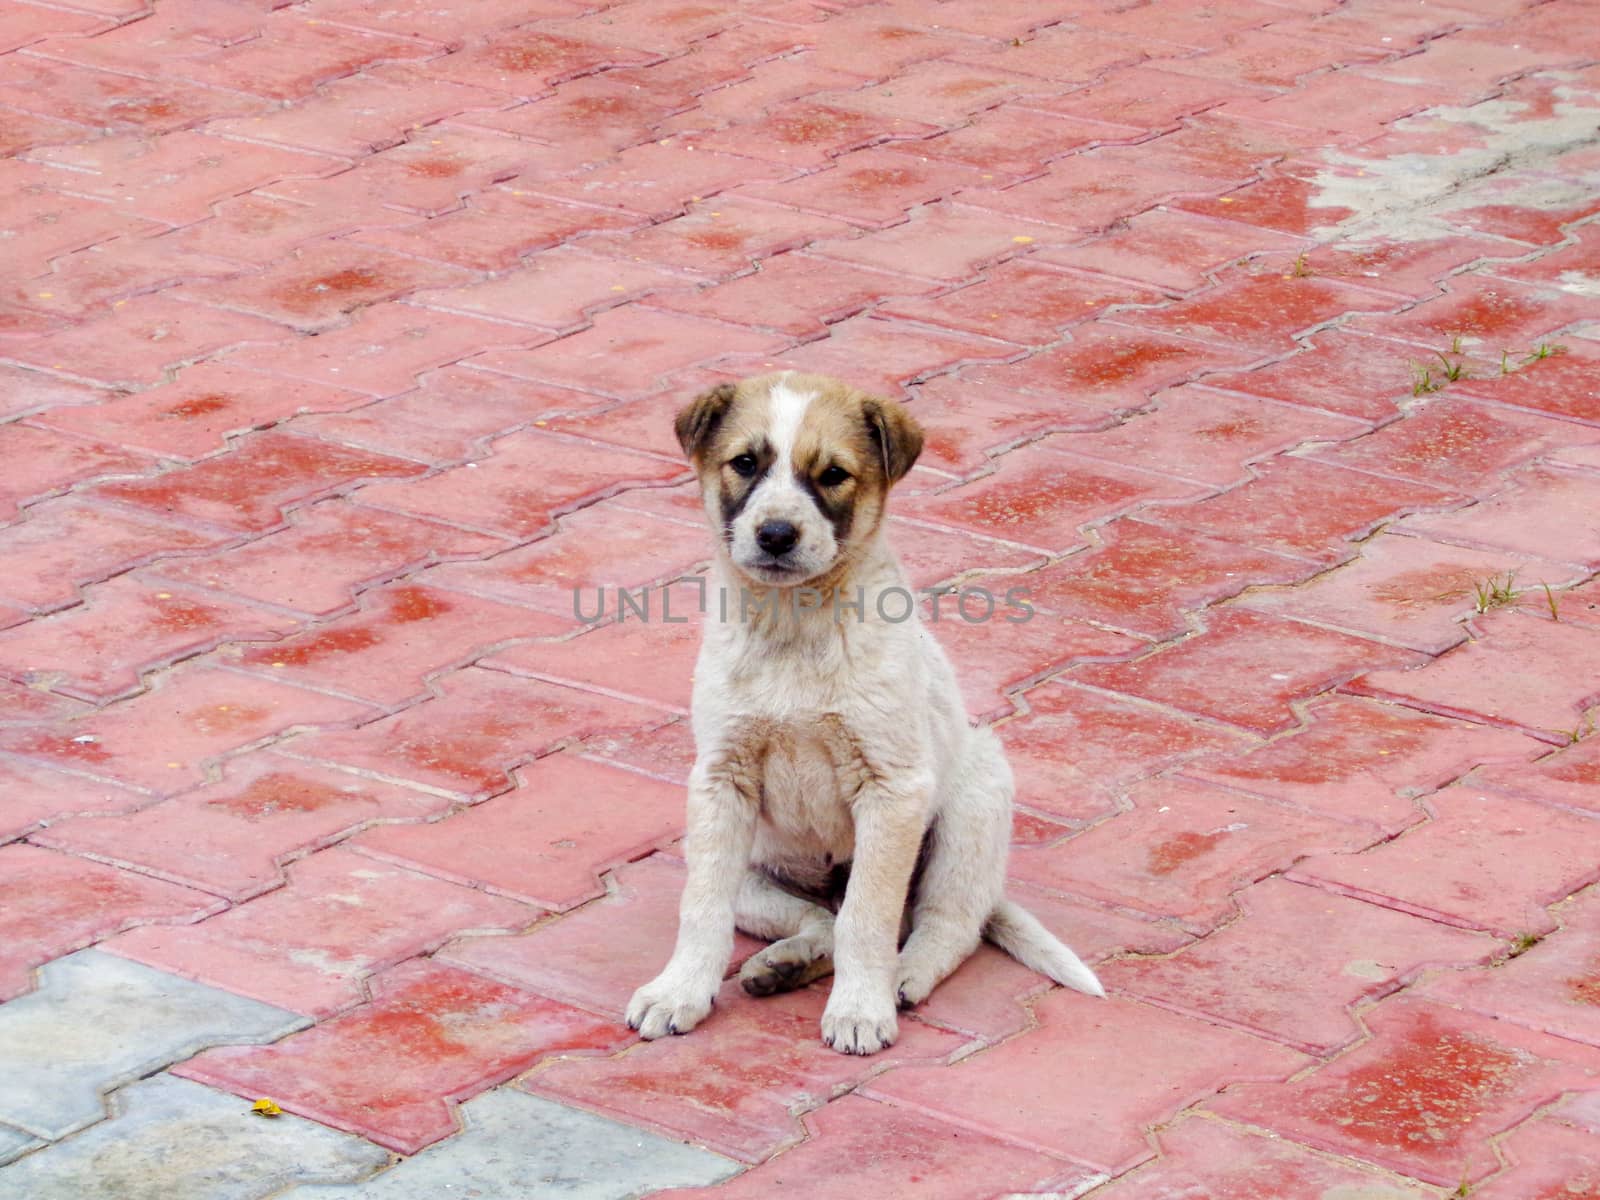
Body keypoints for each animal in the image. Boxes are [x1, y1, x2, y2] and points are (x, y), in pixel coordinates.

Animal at [624, 371, 1100, 1056]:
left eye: (833, 475)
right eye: (745, 464)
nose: (776, 535)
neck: (795, 626)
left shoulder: (892, 789)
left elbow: (868, 918)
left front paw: (859, 1010)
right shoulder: (719, 782)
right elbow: (702, 909)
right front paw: (679, 991)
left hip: (973, 809)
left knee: (937, 923)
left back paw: (899, 977)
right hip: (750, 869)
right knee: (819, 918)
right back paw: (783, 964)